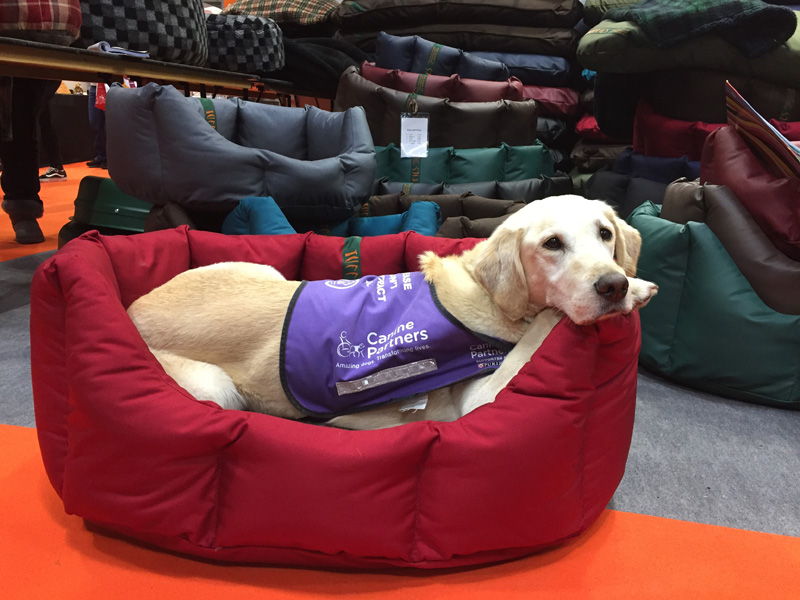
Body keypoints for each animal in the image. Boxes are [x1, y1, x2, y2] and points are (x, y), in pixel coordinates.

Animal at [130, 195, 656, 428]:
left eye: (605, 234)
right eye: (551, 244)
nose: (612, 283)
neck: (492, 300)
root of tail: (130, 307)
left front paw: (635, 283)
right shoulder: (479, 400)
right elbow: (542, 329)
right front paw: (634, 290)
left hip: (264, 269)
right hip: (214, 387)